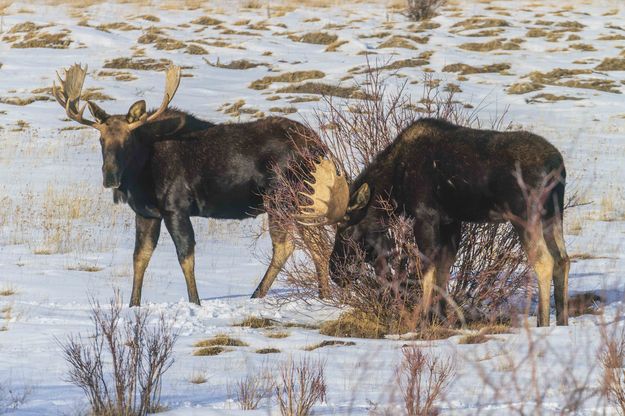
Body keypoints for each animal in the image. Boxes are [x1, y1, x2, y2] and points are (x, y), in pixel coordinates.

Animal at [54, 64, 330, 306]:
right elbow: (140, 258)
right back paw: (320, 295)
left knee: (290, 246)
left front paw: (195, 302)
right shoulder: (146, 213)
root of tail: (320, 147)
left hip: (283, 199)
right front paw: (133, 305)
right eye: (101, 139)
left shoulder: (176, 208)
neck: (141, 173)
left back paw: (267, 295)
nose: (110, 177)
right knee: (315, 245)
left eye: (127, 139)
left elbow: (186, 257)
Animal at [298, 118, 572, 326]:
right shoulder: (452, 221)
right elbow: (443, 270)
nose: (336, 271)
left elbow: (427, 270)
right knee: (563, 260)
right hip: (553, 215)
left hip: (526, 215)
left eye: (345, 228)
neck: (396, 184)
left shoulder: (426, 215)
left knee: (544, 261)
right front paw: (440, 319)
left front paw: (422, 320)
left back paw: (543, 322)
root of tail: (557, 166)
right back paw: (562, 322)